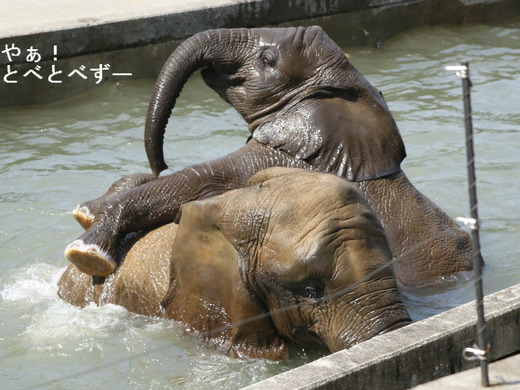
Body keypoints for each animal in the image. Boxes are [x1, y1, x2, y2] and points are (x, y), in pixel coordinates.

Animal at [63, 25, 474, 286]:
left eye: (268, 58)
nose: (158, 163)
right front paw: (89, 208)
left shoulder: (282, 159)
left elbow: (202, 181)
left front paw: (87, 248)